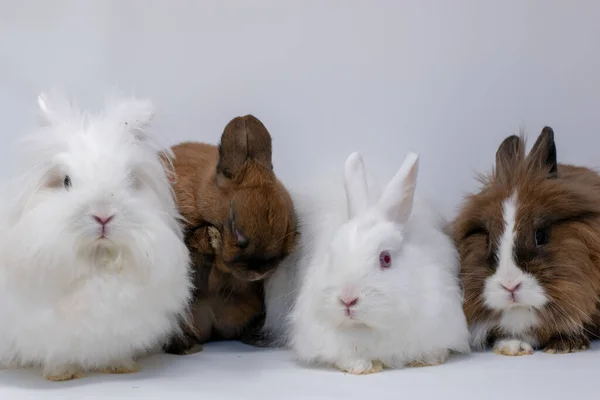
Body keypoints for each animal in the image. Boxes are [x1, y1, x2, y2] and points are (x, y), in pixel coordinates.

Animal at [0, 91, 192, 382]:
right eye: (66, 181)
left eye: (131, 180)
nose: (103, 216)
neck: (98, 260)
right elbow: (58, 355)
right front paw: (62, 374)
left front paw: (120, 367)